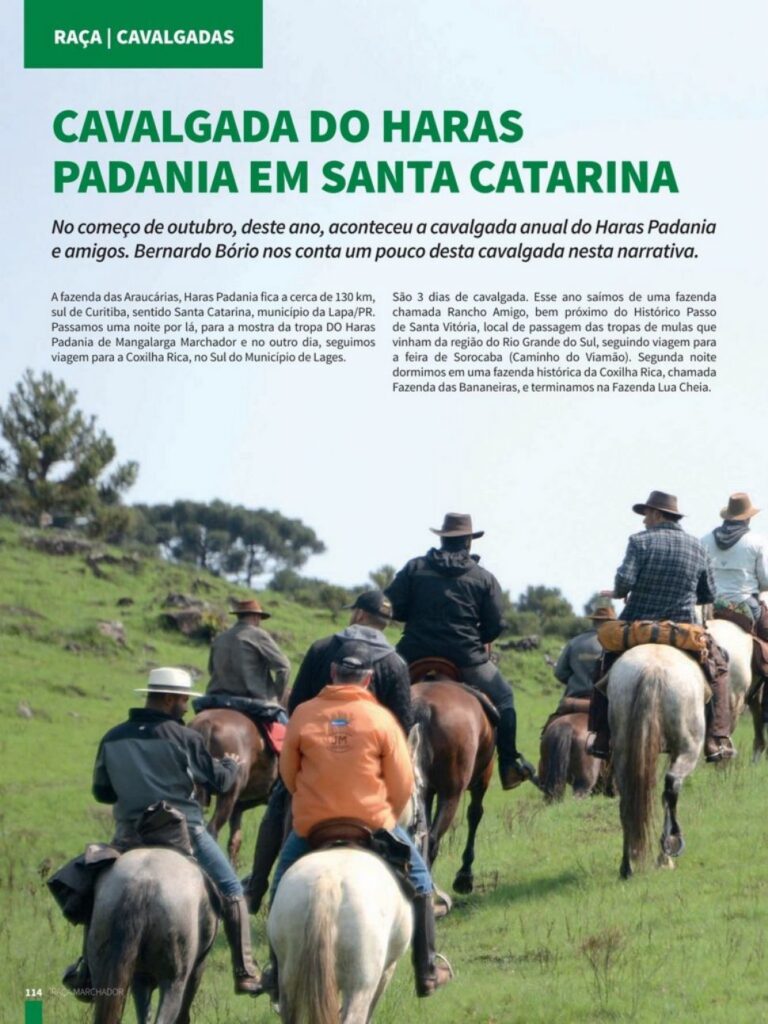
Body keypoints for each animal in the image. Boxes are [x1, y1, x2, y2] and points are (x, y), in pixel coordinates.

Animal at [411, 667, 495, 892]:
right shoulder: (482, 780)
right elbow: (475, 814)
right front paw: (465, 876)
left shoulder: (426, 792)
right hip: (452, 794)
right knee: (431, 841)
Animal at [606, 647, 708, 880]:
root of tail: (652, 671)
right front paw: (664, 858)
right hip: (689, 747)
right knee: (672, 785)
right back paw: (671, 844)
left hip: (624, 750)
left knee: (628, 801)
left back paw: (627, 866)